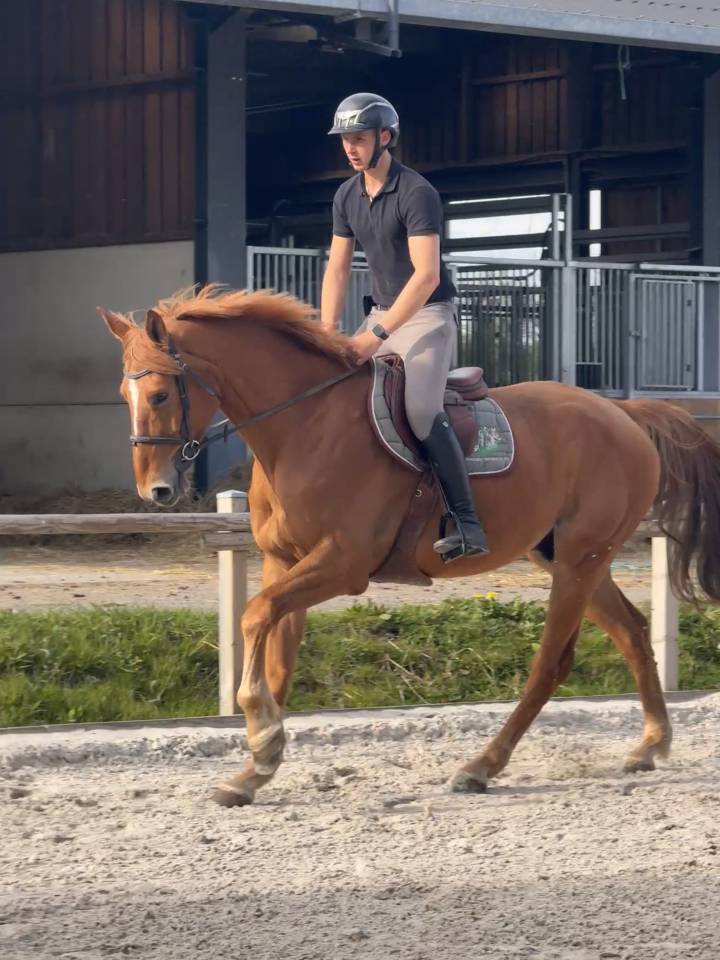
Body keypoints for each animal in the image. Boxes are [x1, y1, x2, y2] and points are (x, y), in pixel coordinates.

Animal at [100, 286, 720, 807]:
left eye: (159, 392)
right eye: (122, 395)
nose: (155, 490)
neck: (306, 425)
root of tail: (623, 413)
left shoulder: (343, 563)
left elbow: (254, 616)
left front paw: (261, 732)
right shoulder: (286, 562)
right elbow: (275, 647)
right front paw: (257, 765)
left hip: (578, 562)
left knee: (551, 662)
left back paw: (480, 767)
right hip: (571, 559)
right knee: (631, 632)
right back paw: (651, 743)